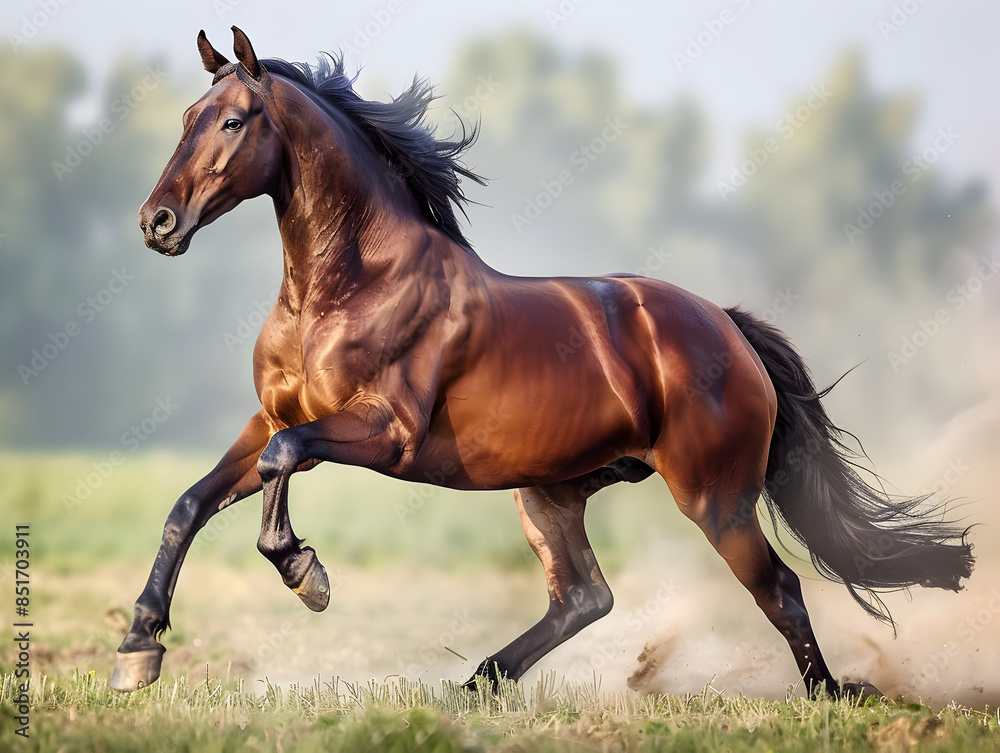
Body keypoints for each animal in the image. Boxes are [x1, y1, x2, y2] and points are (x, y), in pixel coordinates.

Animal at [111, 27, 974, 697]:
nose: (157, 221)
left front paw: (305, 573)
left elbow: (283, 465)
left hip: (714, 498)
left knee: (780, 586)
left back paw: (834, 693)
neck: (342, 290)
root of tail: (725, 327)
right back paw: (473, 687)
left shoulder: (381, 432)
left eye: (232, 120)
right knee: (584, 597)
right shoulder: (269, 417)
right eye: (187, 117)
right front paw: (138, 647)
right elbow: (192, 502)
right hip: (550, 491)